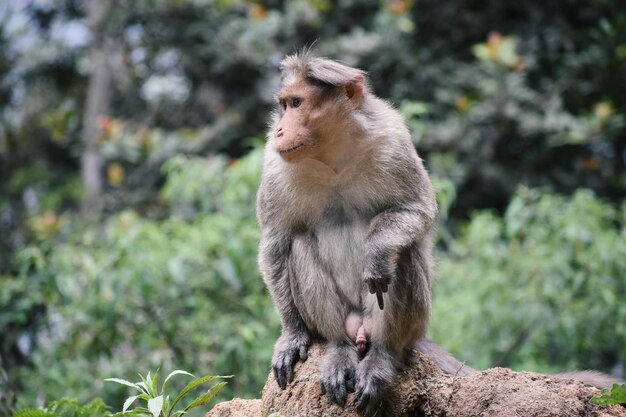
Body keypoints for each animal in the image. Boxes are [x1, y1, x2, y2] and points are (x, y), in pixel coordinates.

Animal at [256, 52, 436, 416]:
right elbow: (275, 243)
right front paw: (292, 334)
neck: (331, 154)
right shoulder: (275, 166)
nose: (280, 129)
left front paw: (377, 252)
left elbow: (418, 210)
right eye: (283, 105)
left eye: (297, 103)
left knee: (402, 252)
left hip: (415, 323)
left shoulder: (394, 141)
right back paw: (338, 348)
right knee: (298, 246)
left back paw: (382, 355)